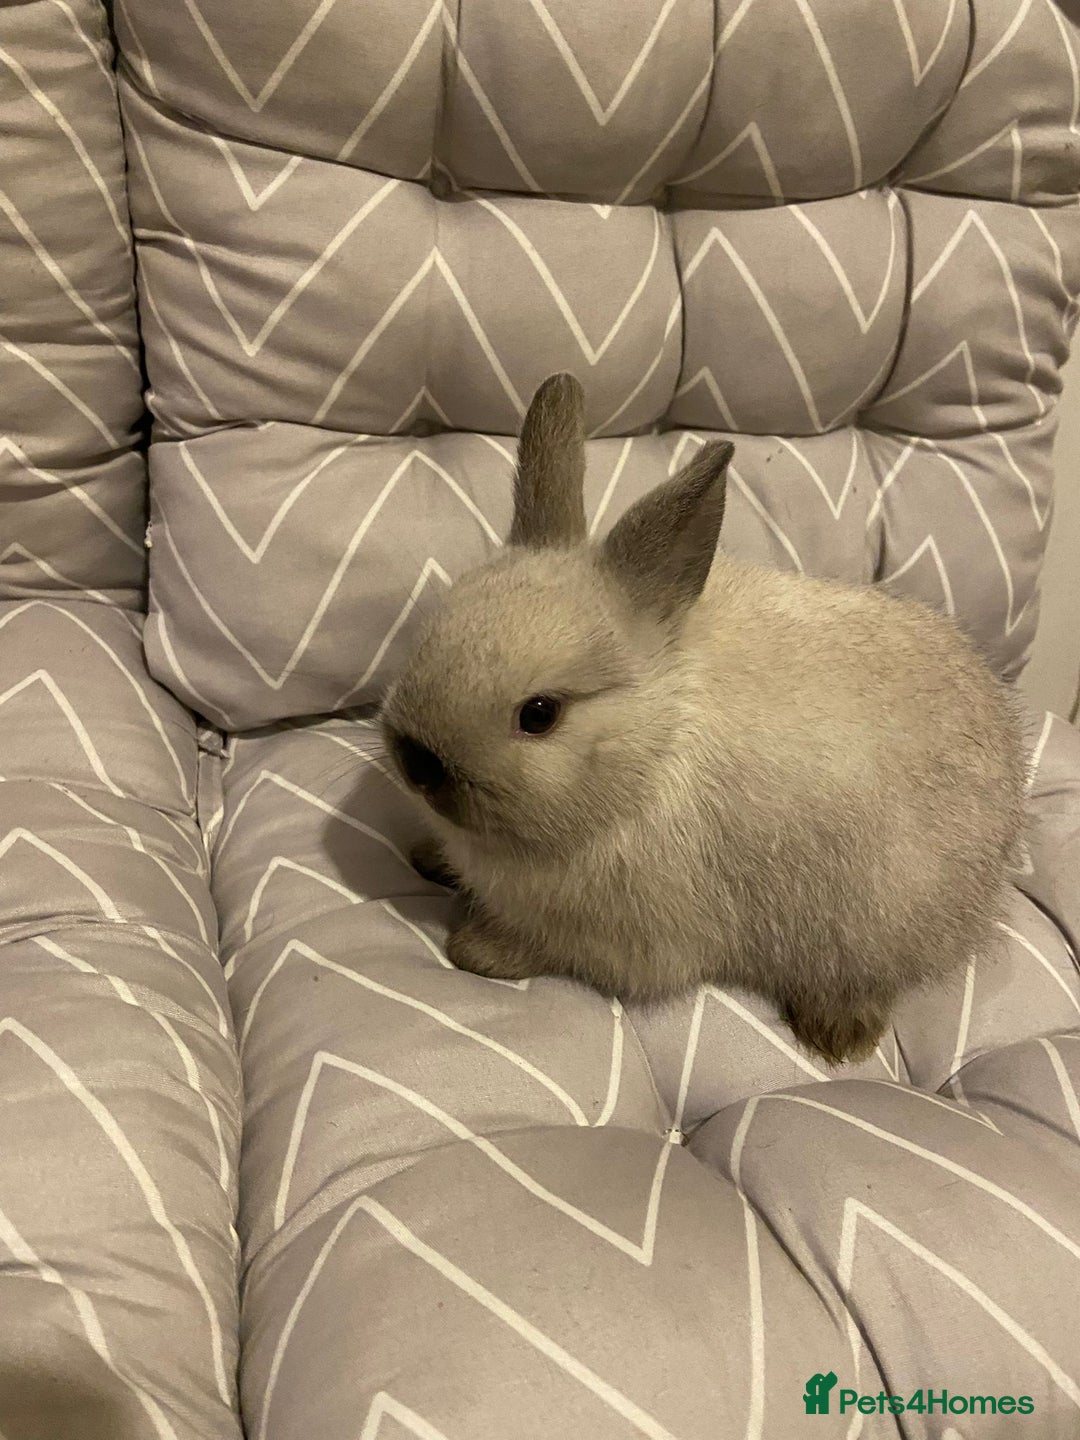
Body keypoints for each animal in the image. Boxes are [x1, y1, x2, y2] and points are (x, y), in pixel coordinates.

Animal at [379, 373, 1027, 1064]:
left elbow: (543, 950)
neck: (648, 750)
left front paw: (473, 949)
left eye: (539, 714)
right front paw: (428, 858)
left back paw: (838, 1036)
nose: (417, 761)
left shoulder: (623, 939)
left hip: (874, 920)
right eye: (432, 627)